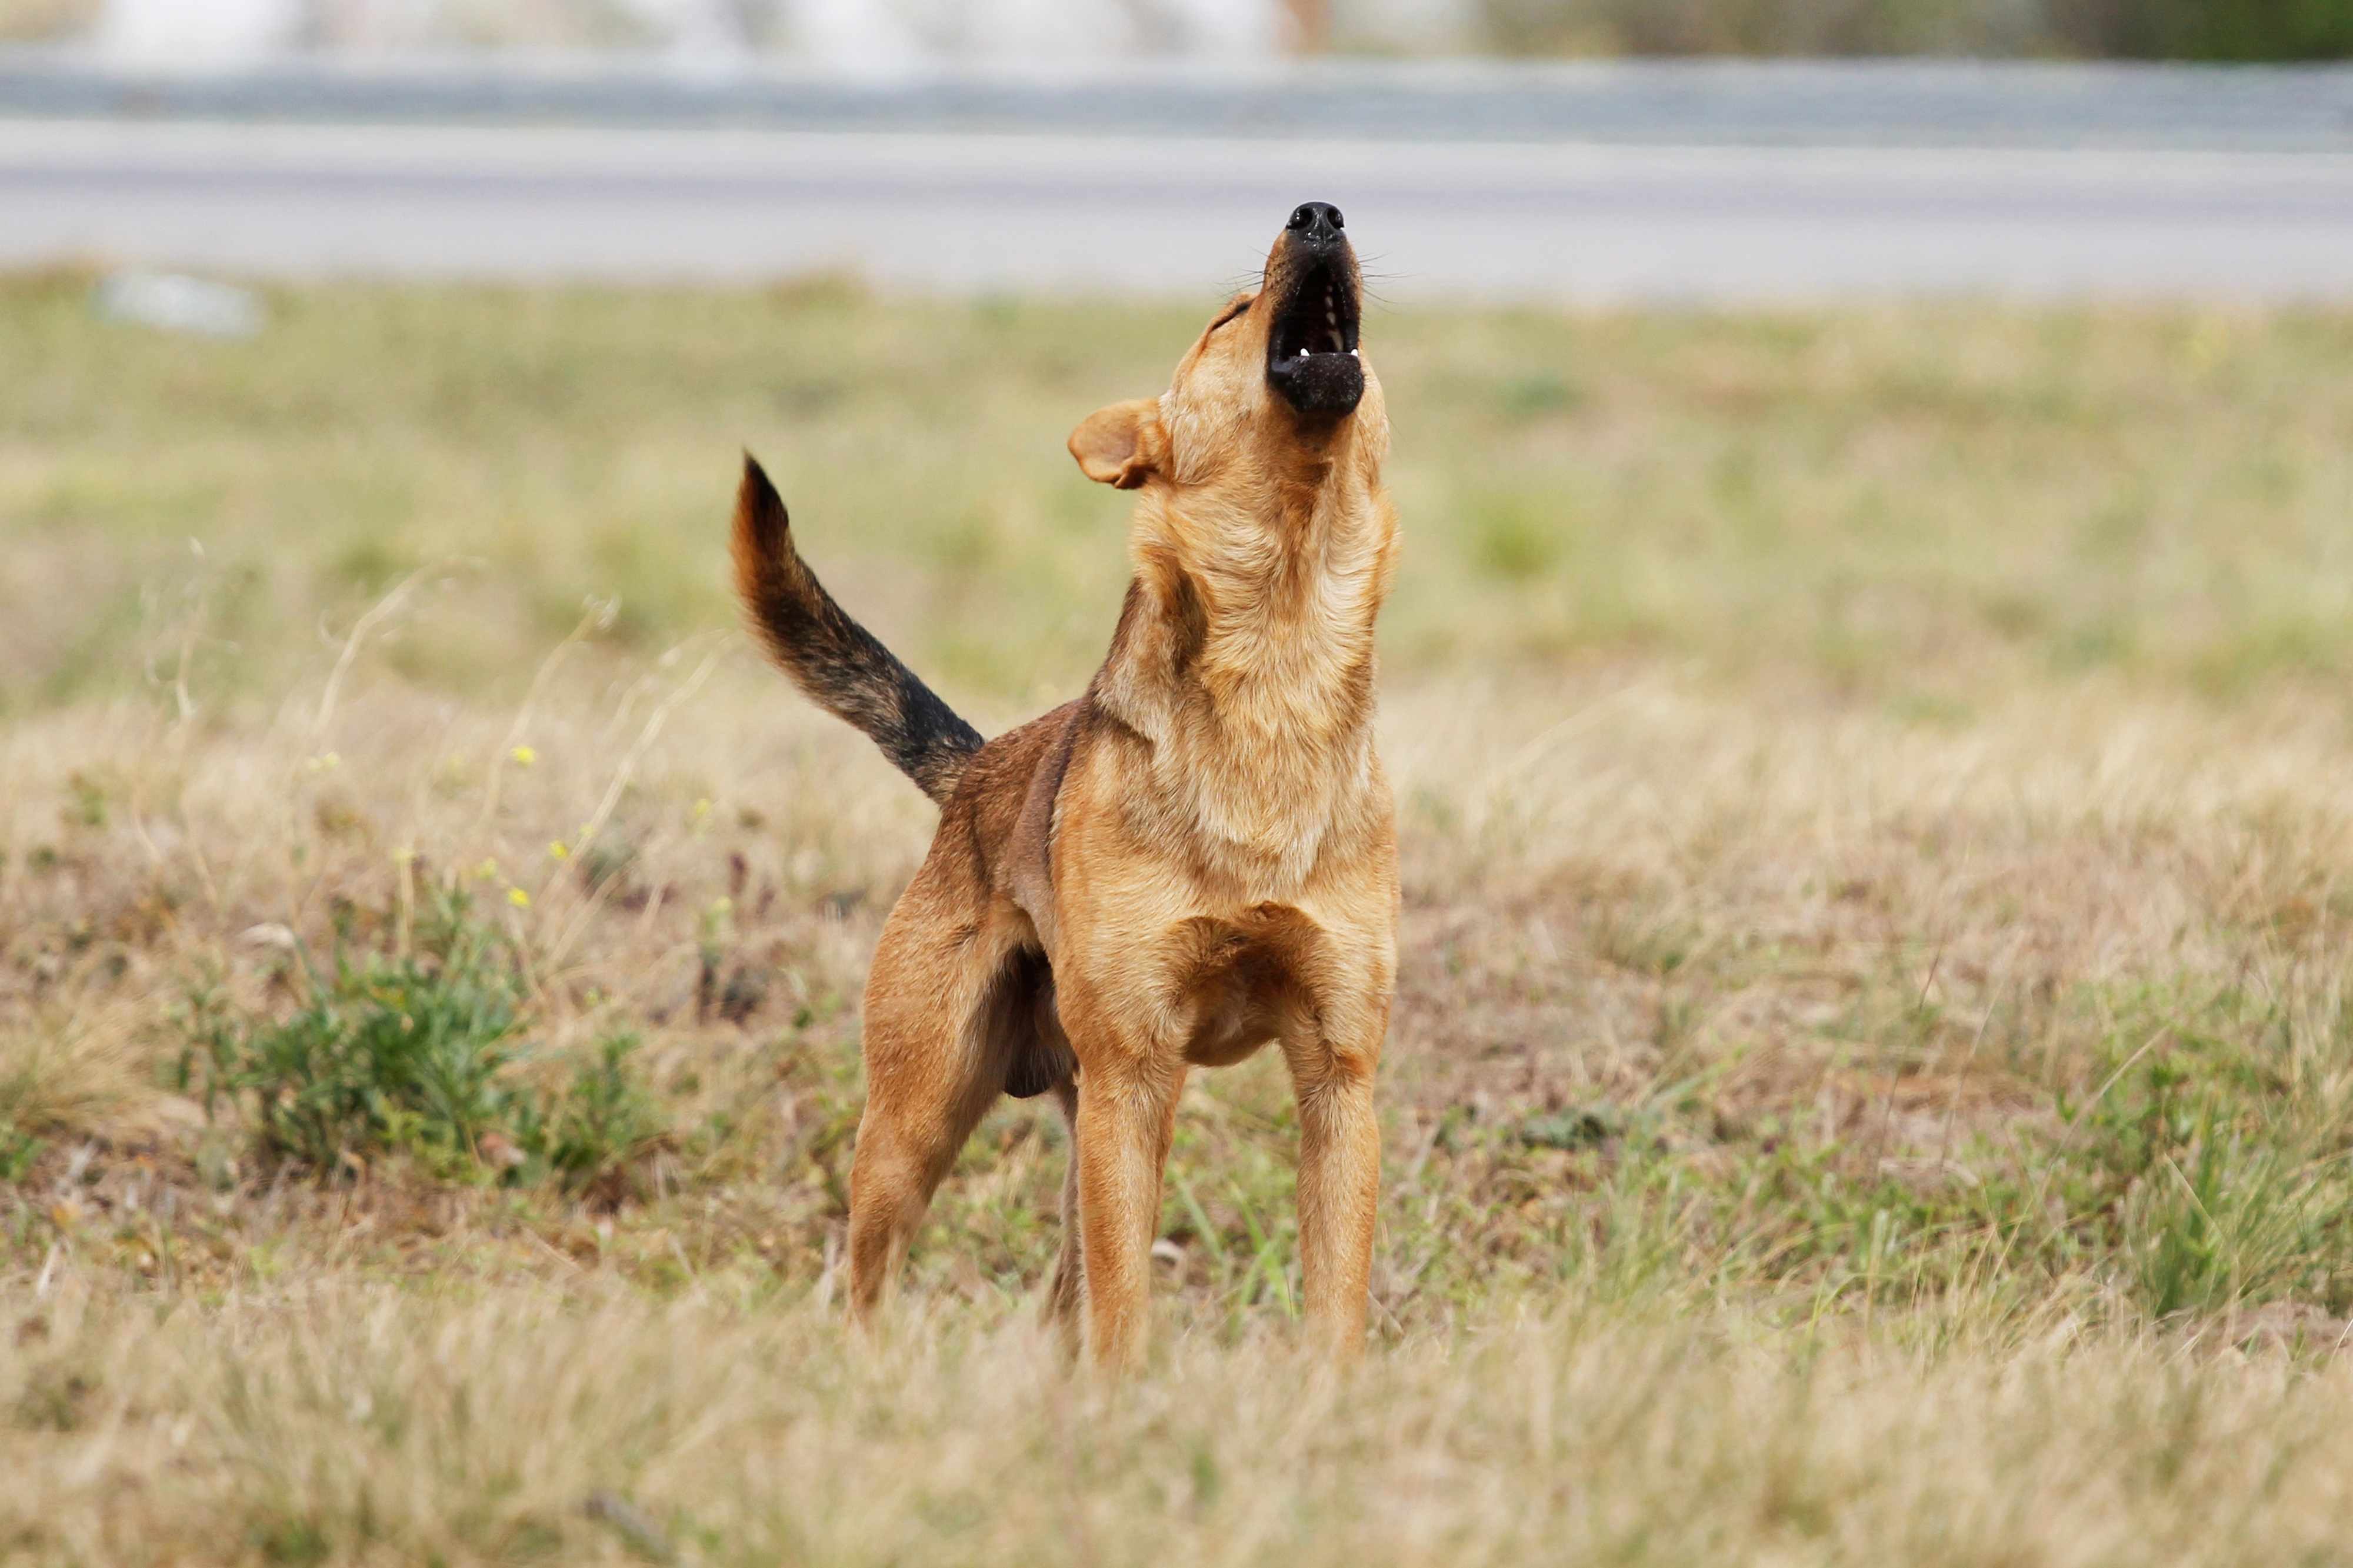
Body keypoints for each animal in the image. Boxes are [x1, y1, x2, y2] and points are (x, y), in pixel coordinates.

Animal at [734, 201, 1393, 1365]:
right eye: (1229, 313)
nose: (1320, 213)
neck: (1280, 660)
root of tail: (975, 771)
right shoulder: (1134, 1071)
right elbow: (1125, 1313)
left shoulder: (1339, 1076)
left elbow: (1331, 1308)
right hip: (920, 1119)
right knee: (871, 1280)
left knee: (1058, 1297)